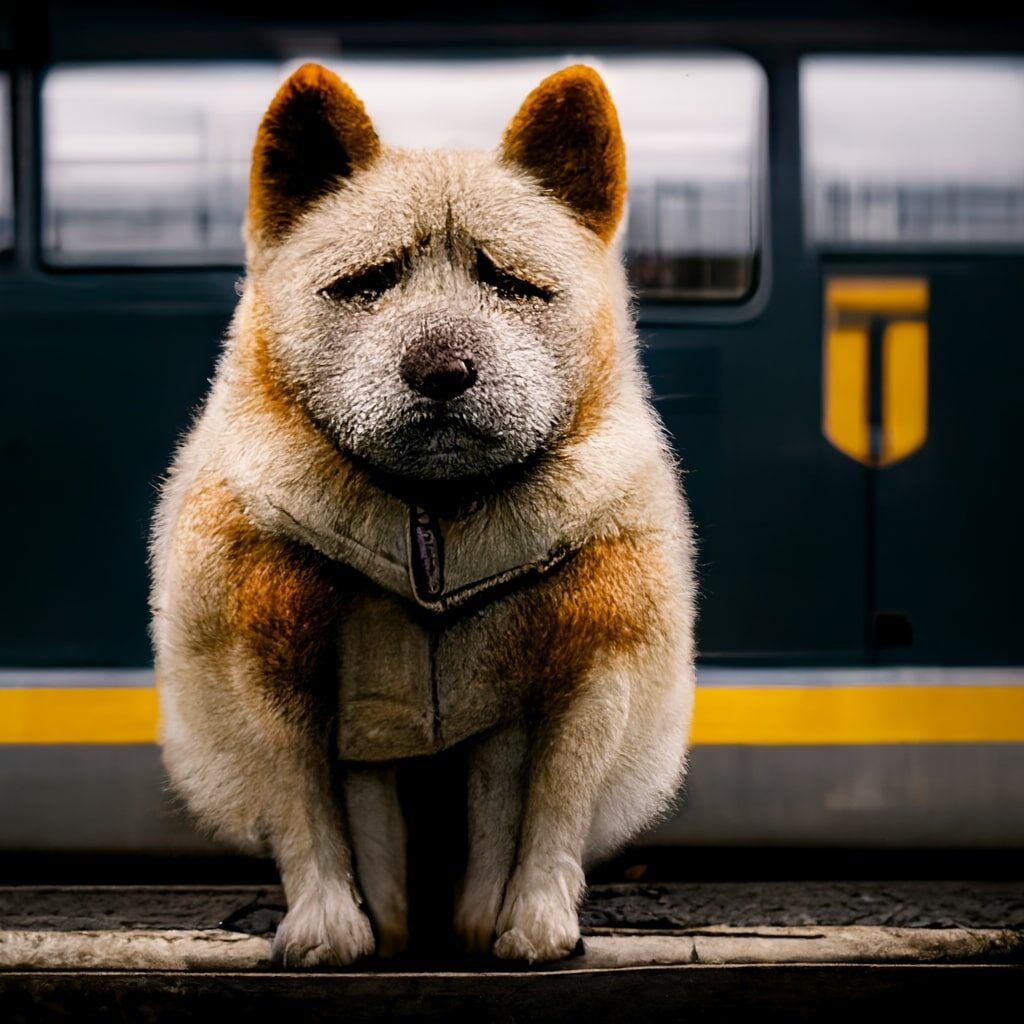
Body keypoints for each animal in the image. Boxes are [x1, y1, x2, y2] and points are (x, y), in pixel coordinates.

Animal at [149, 59, 696, 962]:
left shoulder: (593, 663)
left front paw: (530, 920)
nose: (442, 368)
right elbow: (307, 808)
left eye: (511, 283)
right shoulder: (263, 658)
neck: (433, 520)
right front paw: (332, 923)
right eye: (367, 283)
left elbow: (548, 811)